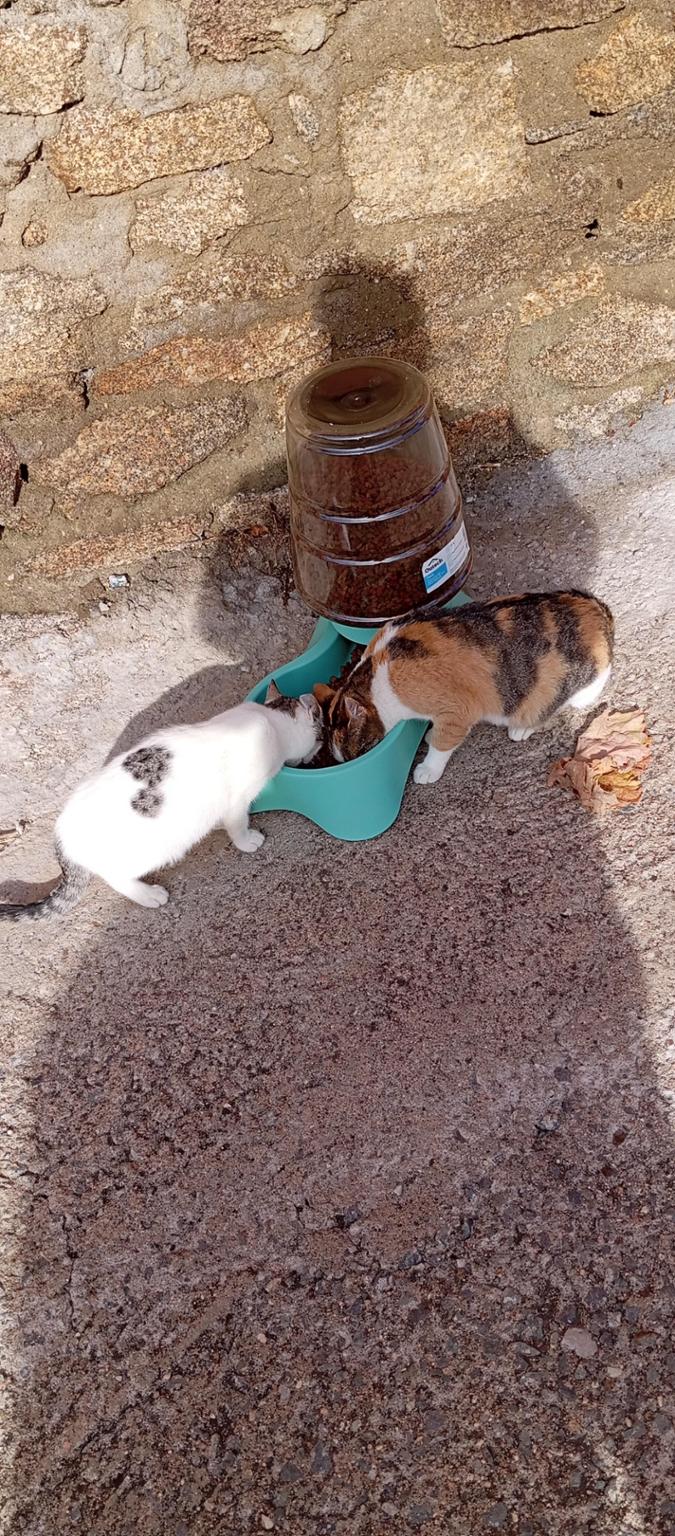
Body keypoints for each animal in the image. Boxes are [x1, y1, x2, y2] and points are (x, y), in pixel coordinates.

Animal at [0, 681, 322, 921]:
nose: (315, 753)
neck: (273, 722)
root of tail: (60, 836)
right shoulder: (237, 800)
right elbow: (238, 825)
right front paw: (248, 841)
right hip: (143, 854)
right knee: (117, 878)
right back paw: (149, 895)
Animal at [315, 590, 614, 785]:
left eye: (360, 751)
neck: (376, 674)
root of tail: (599, 610)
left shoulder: (457, 710)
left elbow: (443, 742)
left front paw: (428, 769)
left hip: (576, 688)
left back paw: (522, 727)